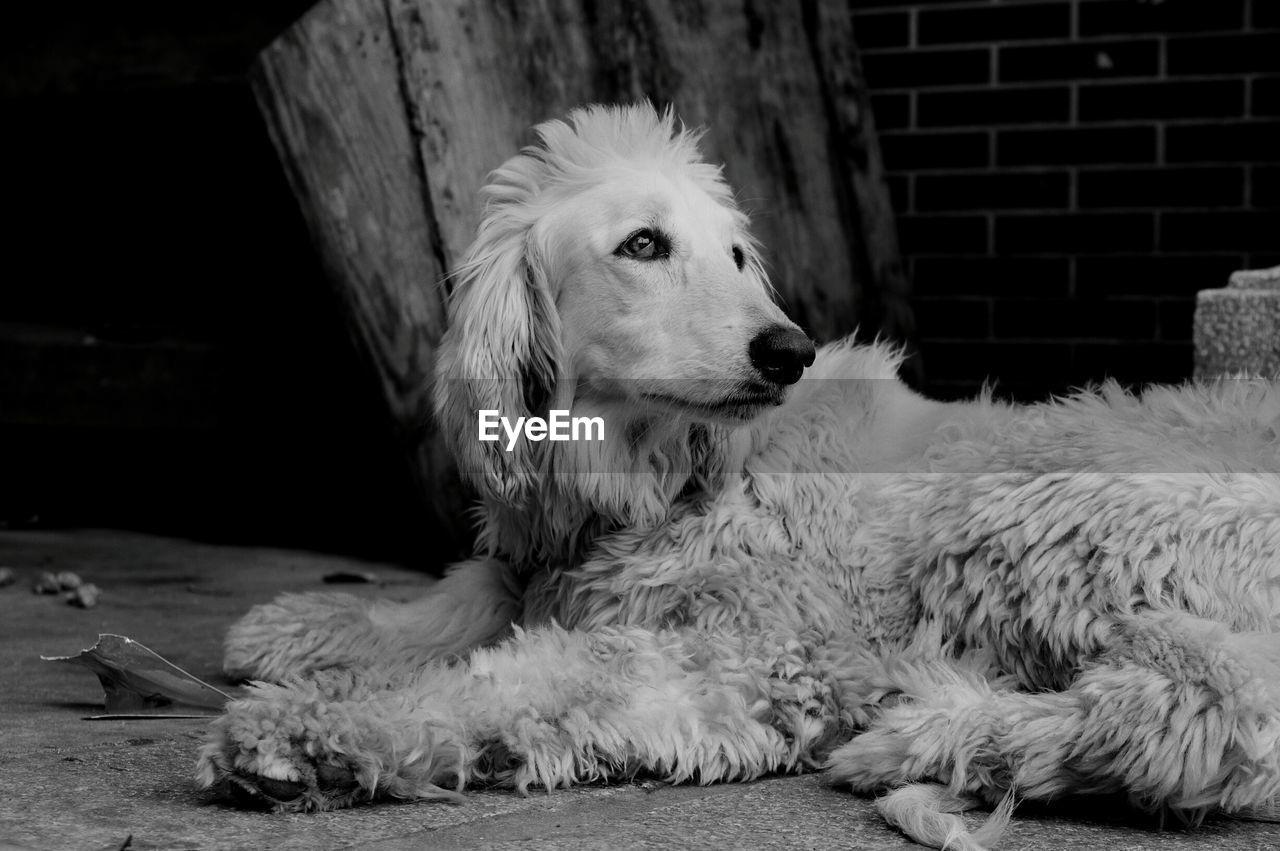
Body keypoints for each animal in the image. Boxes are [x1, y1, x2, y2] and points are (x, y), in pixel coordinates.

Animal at [197, 103, 1280, 844]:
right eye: (643, 243)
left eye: (732, 254)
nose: (786, 351)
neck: (654, 478)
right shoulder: (550, 567)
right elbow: (455, 605)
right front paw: (299, 627)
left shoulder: (759, 659)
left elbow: (522, 678)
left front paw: (310, 731)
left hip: (1030, 509)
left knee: (1215, 707)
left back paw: (948, 734)